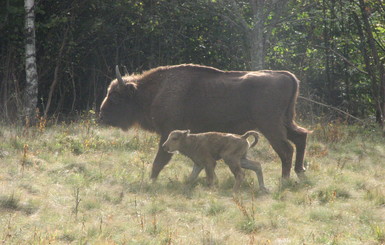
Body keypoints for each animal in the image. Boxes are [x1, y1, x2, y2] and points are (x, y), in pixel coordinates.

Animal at [99, 63, 308, 182]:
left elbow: (159, 161)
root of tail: (286, 75)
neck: (155, 91)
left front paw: (151, 181)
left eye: (115, 97)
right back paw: (300, 172)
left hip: (270, 126)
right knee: (301, 137)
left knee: (286, 149)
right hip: (285, 122)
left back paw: (284, 179)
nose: (101, 115)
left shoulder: (167, 133)